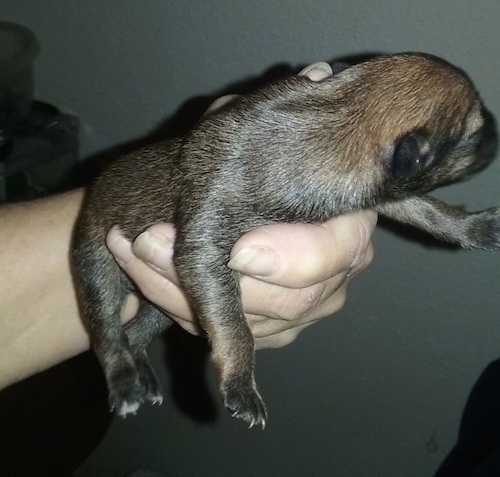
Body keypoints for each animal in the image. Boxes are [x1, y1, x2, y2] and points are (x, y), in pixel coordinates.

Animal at [72, 52, 500, 428]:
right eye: (477, 132)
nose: (497, 128)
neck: (342, 118)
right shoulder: (206, 241)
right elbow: (235, 326)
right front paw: (242, 386)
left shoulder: (380, 191)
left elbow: (429, 211)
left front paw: (476, 227)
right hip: (97, 260)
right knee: (107, 332)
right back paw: (126, 385)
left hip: (166, 301)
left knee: (136, 331)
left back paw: (143, 375)